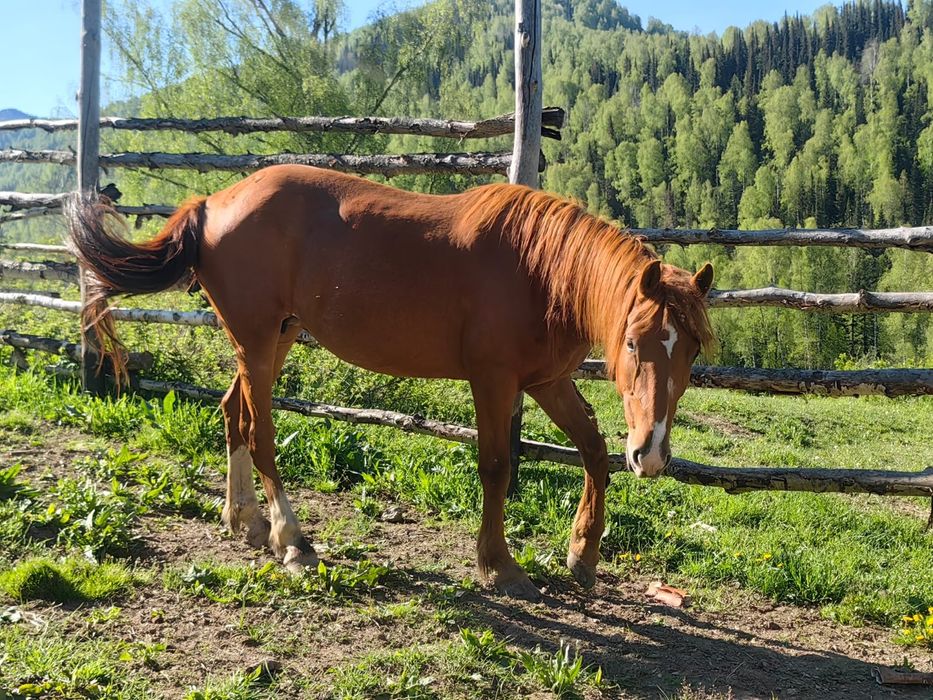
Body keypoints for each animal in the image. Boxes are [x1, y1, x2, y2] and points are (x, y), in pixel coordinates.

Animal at [66, 165, 714, 600]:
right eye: (632, 343)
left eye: (692, 350)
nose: (652, 454)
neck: (539, 270)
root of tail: (212, 202)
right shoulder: (494, 382)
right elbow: (497, 466)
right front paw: (499, 566)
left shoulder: (546, 381)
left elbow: (595, 451)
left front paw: (583, 554)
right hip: (256, 339)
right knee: (263, 431)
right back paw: (292, 541)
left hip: (274, 338)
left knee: (234, 413)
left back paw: (245, 520)